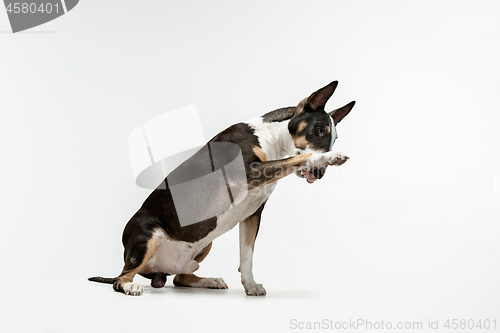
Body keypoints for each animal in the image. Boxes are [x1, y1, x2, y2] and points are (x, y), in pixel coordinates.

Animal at [90, 80, 356, 296]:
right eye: (319, 130)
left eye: (334, 137)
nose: (319, 175)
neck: (270, 137)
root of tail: (155, 271)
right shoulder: (251, 171)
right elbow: (299, 157)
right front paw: (330, 157)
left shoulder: (252, 214)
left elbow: (246, 255)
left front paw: (251, 287)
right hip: (148, 239)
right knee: (121, 278)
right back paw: (131, 286)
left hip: (204, 243)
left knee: (179, 278)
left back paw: (209, 281)